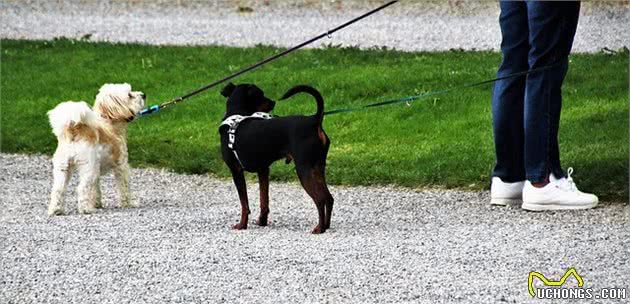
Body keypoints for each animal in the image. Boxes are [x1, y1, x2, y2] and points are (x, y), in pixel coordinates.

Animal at [47, 83, 146, 215]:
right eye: (129, 95)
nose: (143, 95)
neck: (108, 123)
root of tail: (74, 130)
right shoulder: (121, 166)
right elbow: (124, 187)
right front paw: (128, 203)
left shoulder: (97, 172)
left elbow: (95, 189)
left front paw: (97, 203)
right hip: (88, 168)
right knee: (82, 188)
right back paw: (86, 209)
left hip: (63, 168)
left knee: (58, 189)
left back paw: (56, 210)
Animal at [220, 82, 334, 234]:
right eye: (261, 95)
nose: (273, 102)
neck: (236, 115)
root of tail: (313, 120)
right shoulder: (263, 170)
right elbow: (264, 200)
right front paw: (262, 222)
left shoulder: (236, 171)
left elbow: (244, 204)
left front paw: (242, 225)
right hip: (317, 168)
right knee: (329, 198)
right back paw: (326, 225)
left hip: (304, 170)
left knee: (320, 199)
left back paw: (319, 228)